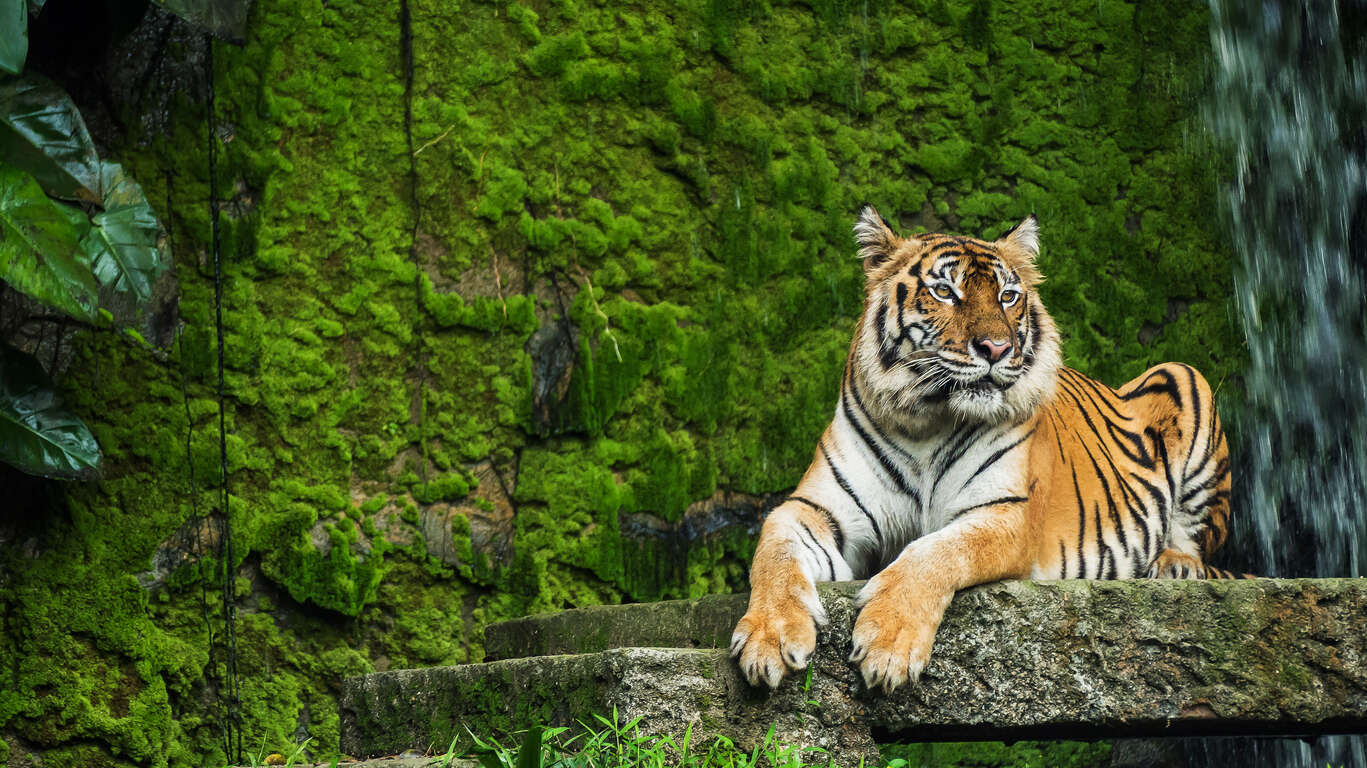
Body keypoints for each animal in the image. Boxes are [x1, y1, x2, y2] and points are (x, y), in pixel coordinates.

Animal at [732, 202, 1235, 688]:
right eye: (944, 292)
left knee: (1199, 542)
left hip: (1184, 376)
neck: (926, 421)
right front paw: (769, 638)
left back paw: (1173, 566)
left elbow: (934, 551)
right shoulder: (814, 509)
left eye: (1007, 296)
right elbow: (774, 554)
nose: (996, 348)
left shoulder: (1006, 512)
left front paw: (889, 643)